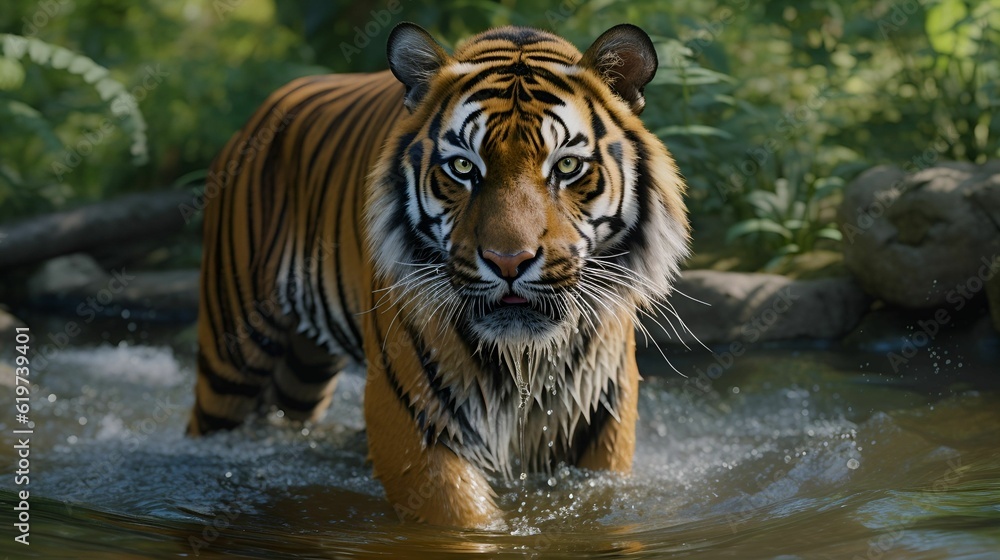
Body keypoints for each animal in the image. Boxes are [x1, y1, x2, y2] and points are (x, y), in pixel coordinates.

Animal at [188, 22, 689, 528]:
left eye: (566, 165)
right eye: (463, 166)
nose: (509, 261)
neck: (521, 356)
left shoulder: (602, 418)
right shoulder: (413, 419)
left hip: (302, 371)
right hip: (232, 356)